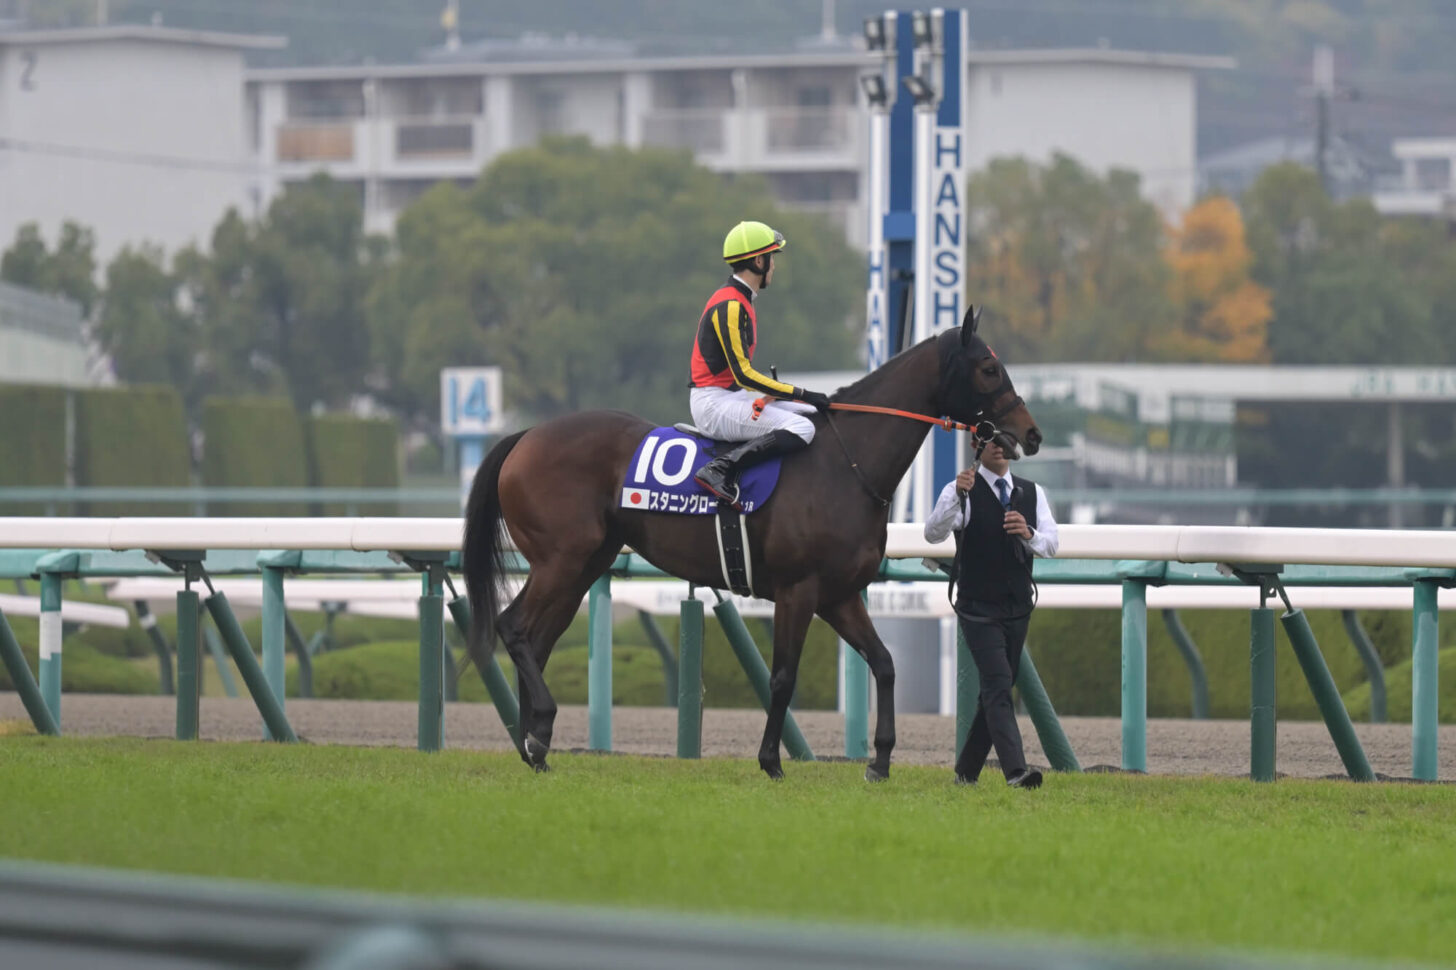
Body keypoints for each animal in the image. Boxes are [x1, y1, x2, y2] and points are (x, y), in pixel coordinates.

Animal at [460, 310, 1042, 780]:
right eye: (989, 369)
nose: (1031, 434)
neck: (844, 465)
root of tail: (526, 436)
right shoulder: (798, 590)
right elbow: (782, 676)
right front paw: (770, 762)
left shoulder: (839, 595)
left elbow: (884, 663)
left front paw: (879, 761)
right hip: (561, 560)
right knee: (513, 627)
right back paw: (539, 730)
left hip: (585, 564)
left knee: (537, 640)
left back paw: (535, 745)